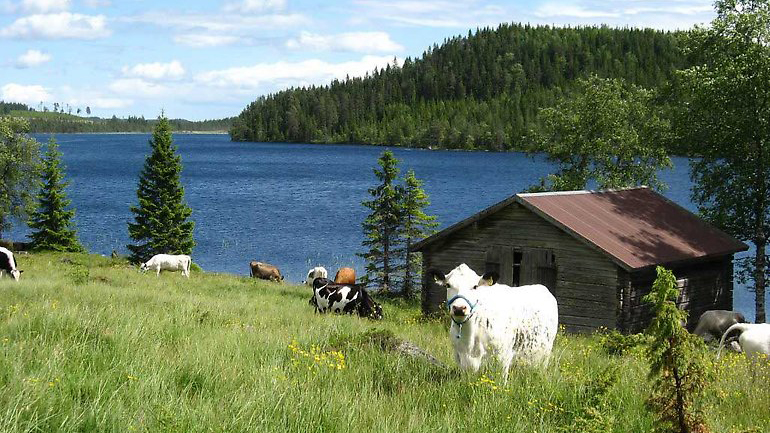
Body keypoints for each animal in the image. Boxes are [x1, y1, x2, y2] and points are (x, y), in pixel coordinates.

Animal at [428, 262, 556, 380]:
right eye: (448, 285)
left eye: (475, 286)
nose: (459, 308)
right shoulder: (460, 356)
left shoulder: (503, 357)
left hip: (544, 354)